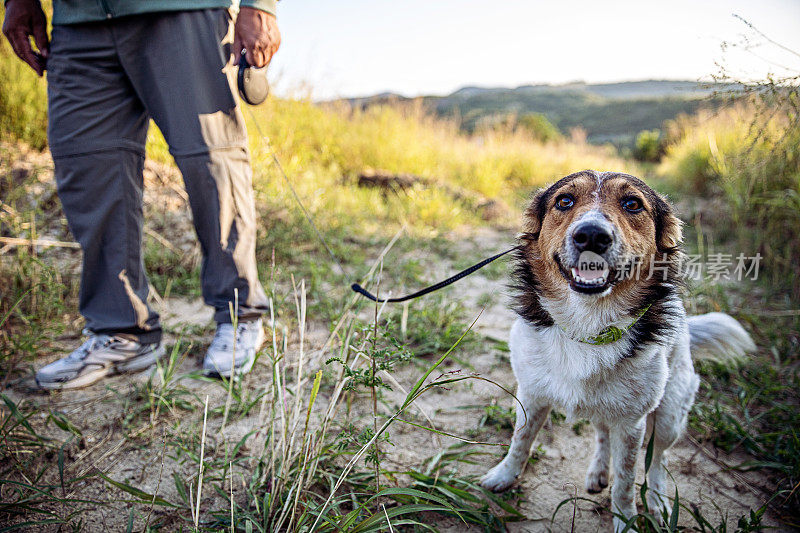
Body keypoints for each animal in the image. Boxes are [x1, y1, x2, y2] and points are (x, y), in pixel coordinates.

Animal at [482, 169, 756, 528]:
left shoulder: (631, 423)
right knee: (602, 434)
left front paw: (625, 521)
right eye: (564, 201)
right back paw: (599, 472)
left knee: (658, 460)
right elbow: (520, 441)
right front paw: (504, 476)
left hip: (668, 415)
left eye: (632, 204)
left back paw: (659, 501)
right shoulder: (531, 394)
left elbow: (626, 480)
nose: (591, 236)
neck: (589, 325)